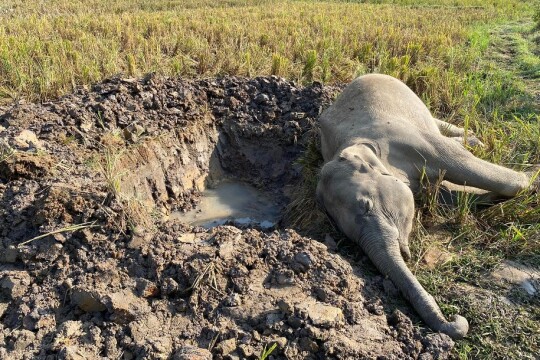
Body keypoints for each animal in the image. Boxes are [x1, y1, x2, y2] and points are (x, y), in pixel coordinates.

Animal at [314, 74, 536, 340]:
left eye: (367, 205)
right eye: (347, 237)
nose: (455, 318)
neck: (352, 146)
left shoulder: (407, 138)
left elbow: (463, 163)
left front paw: (533, 178)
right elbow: (446, 194)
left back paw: (476, 141)